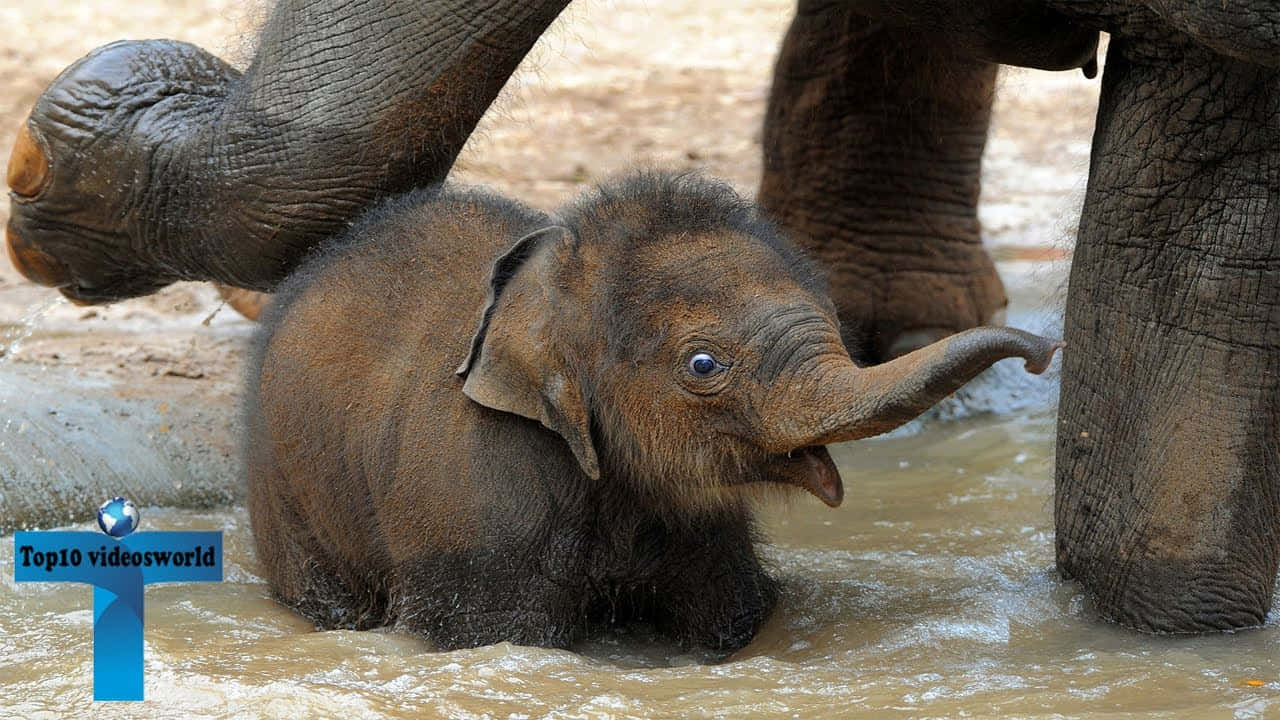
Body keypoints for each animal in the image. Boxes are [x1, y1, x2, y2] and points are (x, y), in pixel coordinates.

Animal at [246, 170, 1061, 651]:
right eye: (703, 366)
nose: (1043, 351)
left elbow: (728, 615)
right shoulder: (477, 501)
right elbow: (496, 632)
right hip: (286, 497)